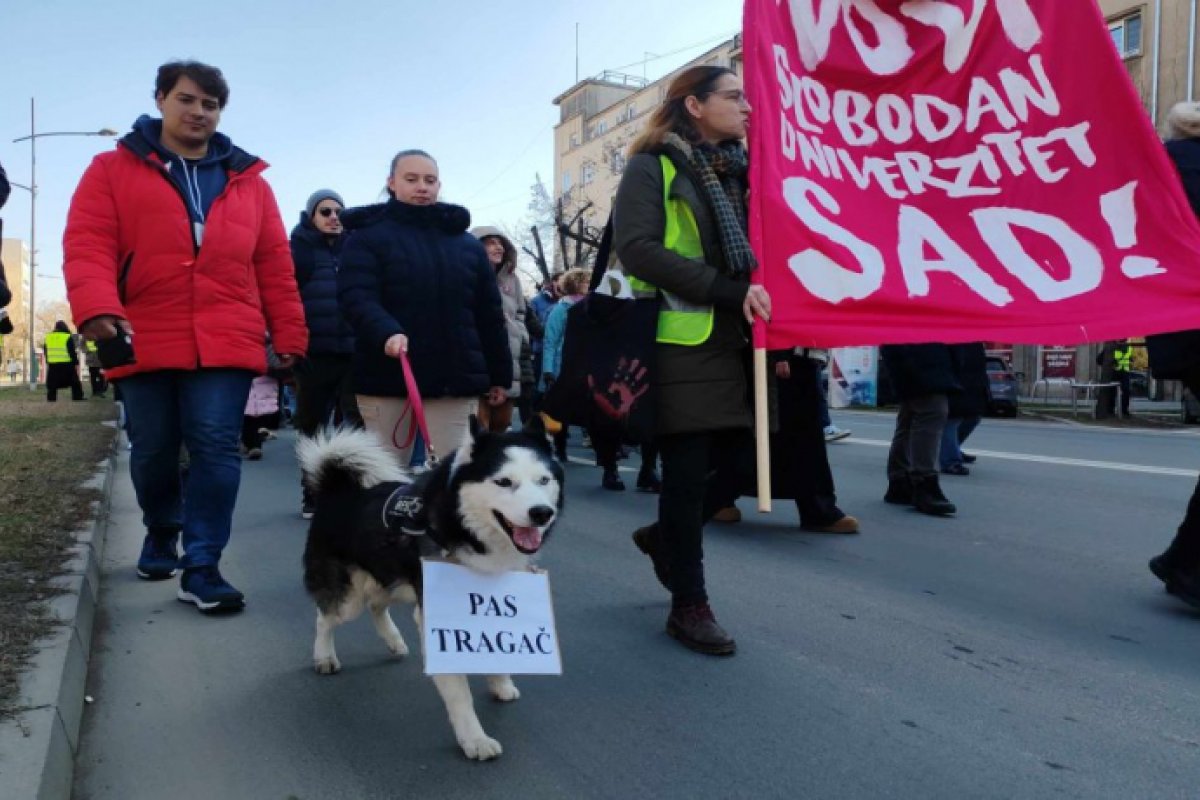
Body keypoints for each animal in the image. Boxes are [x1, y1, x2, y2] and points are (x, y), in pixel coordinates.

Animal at [297, 417, 564, 762]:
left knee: (376, 605)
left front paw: (500, 682)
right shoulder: (436, 615)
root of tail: (337, 488)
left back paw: (394, 641)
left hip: (393, 576)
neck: (462, 526)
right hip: (350, 596)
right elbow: (460, 692)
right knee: (327, 616)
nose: (542, 513)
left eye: (543, 480)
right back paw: (324, 656)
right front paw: (474, 739)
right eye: (504, 482)